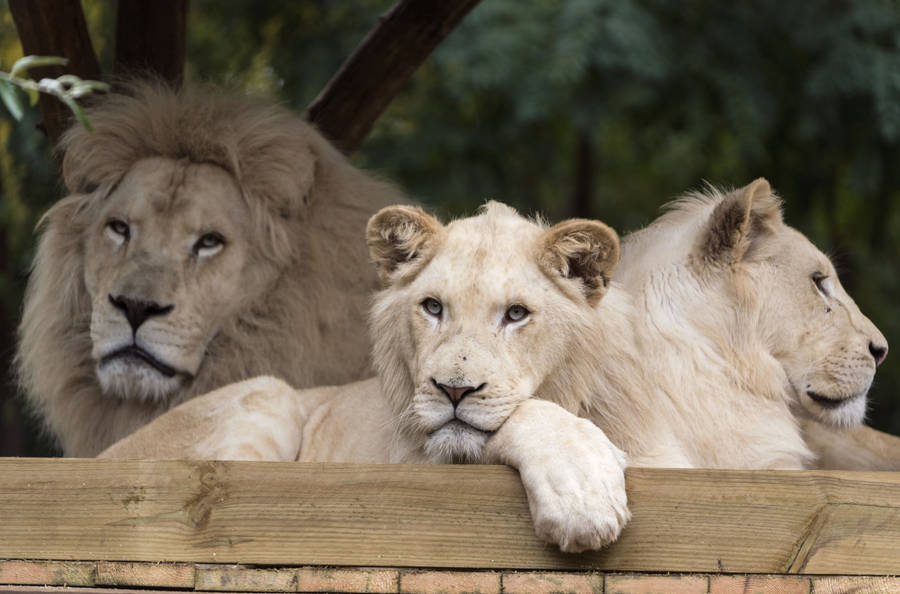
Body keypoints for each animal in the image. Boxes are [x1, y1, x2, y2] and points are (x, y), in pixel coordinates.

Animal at [102, 201, 633, 553]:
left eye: (517, 314)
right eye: (433, 307)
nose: (453, 390)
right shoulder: (407, 464)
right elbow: (530, 417)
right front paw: (581, 498)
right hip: (271, 393)